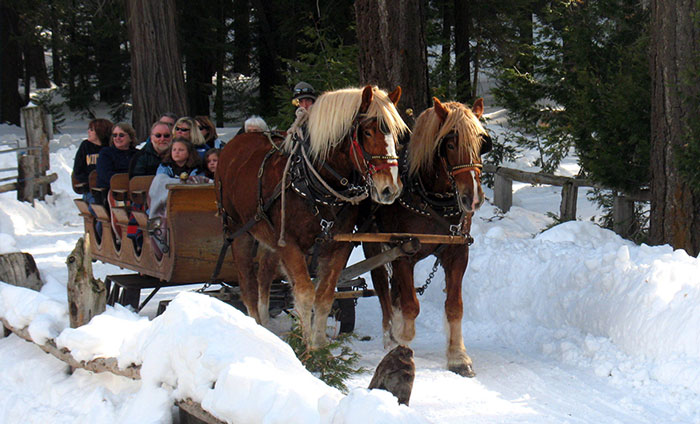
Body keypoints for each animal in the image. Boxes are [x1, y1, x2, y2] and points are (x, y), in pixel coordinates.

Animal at [216, 85, 408, 348]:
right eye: (367, 132)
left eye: (396, 135)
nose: (390, 189)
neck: (312, 182)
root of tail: (234, 144)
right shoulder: (289, 243)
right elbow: (305, 293)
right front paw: (308, 348)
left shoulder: (337, 245)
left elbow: (325, 296)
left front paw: (318, 345)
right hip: (238, 230)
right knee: (248, 284)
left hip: (268, 237)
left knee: (264, 276)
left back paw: (266, 327)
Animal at [364, 97, 494, 378]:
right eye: (451, 144)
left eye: (481, 144)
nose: (473, 198)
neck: (431, 198)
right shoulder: (402, 252)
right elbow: (411, 304)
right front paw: (402, 340)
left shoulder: (457, 252)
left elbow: (454, 305)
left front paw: (458, 357)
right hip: (373, 246)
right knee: (382, 288)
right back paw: (389, 334)